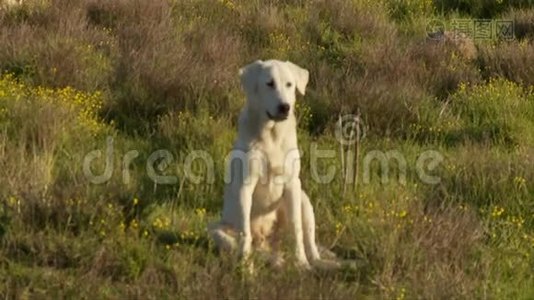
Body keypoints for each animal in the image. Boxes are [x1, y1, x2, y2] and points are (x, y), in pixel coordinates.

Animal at [208, 58, 338, 270]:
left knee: (310, 245)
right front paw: (246, 267)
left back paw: (322, 263)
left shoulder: (292, 184)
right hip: (215, 228)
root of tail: (269, 245)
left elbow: (296, 228)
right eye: (269, 84)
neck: (272, 135)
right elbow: (245, 232)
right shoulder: (245, 186)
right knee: (242, 243)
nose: (284, 107)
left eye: (289, 84)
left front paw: (301, 262)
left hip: (304, 199)